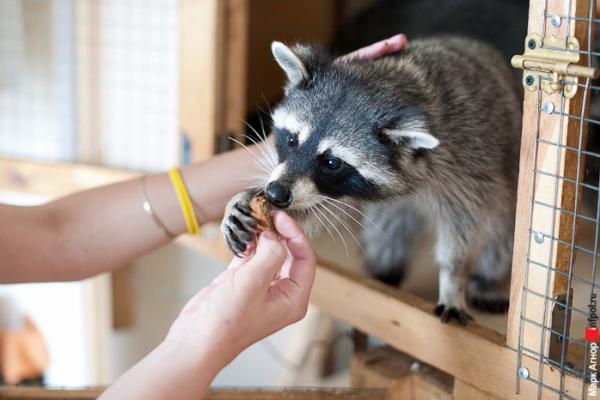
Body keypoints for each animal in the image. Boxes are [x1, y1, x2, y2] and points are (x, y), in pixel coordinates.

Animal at [223, 36, 524, 324]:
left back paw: (486, 282)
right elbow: (317, 206)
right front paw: (248, 198)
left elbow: (466, 226)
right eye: (292, 140)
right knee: (386, 237)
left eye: (332, 163)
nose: (275, 193)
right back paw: (384, 273)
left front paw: (453, 279)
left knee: (501, 238)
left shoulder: (470, 165)